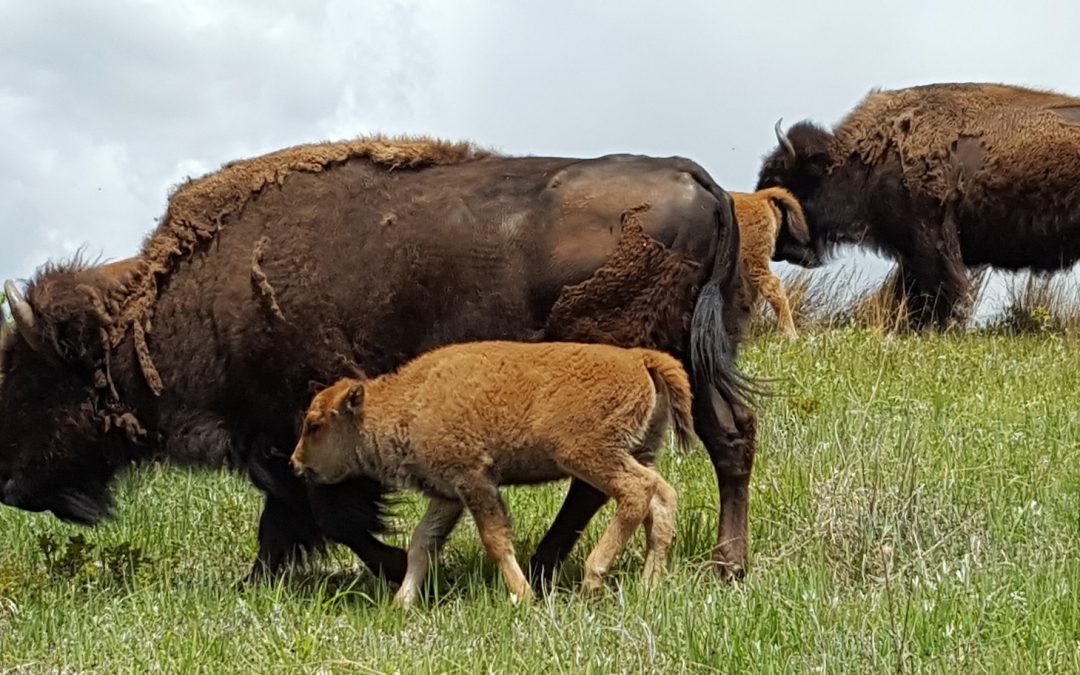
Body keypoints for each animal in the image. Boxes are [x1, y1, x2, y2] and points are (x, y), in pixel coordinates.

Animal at [0, 135, 758, 588]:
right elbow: (292, 514)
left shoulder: (293, 429)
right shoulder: (282, 441)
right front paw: (261, 581)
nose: (9, 486)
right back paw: (725, 565)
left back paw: (552, 566)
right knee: (730, 437)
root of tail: (696, 179)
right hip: (691, 364)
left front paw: (391, 567)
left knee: (609, 477)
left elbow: (326, 510)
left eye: (35, 380)